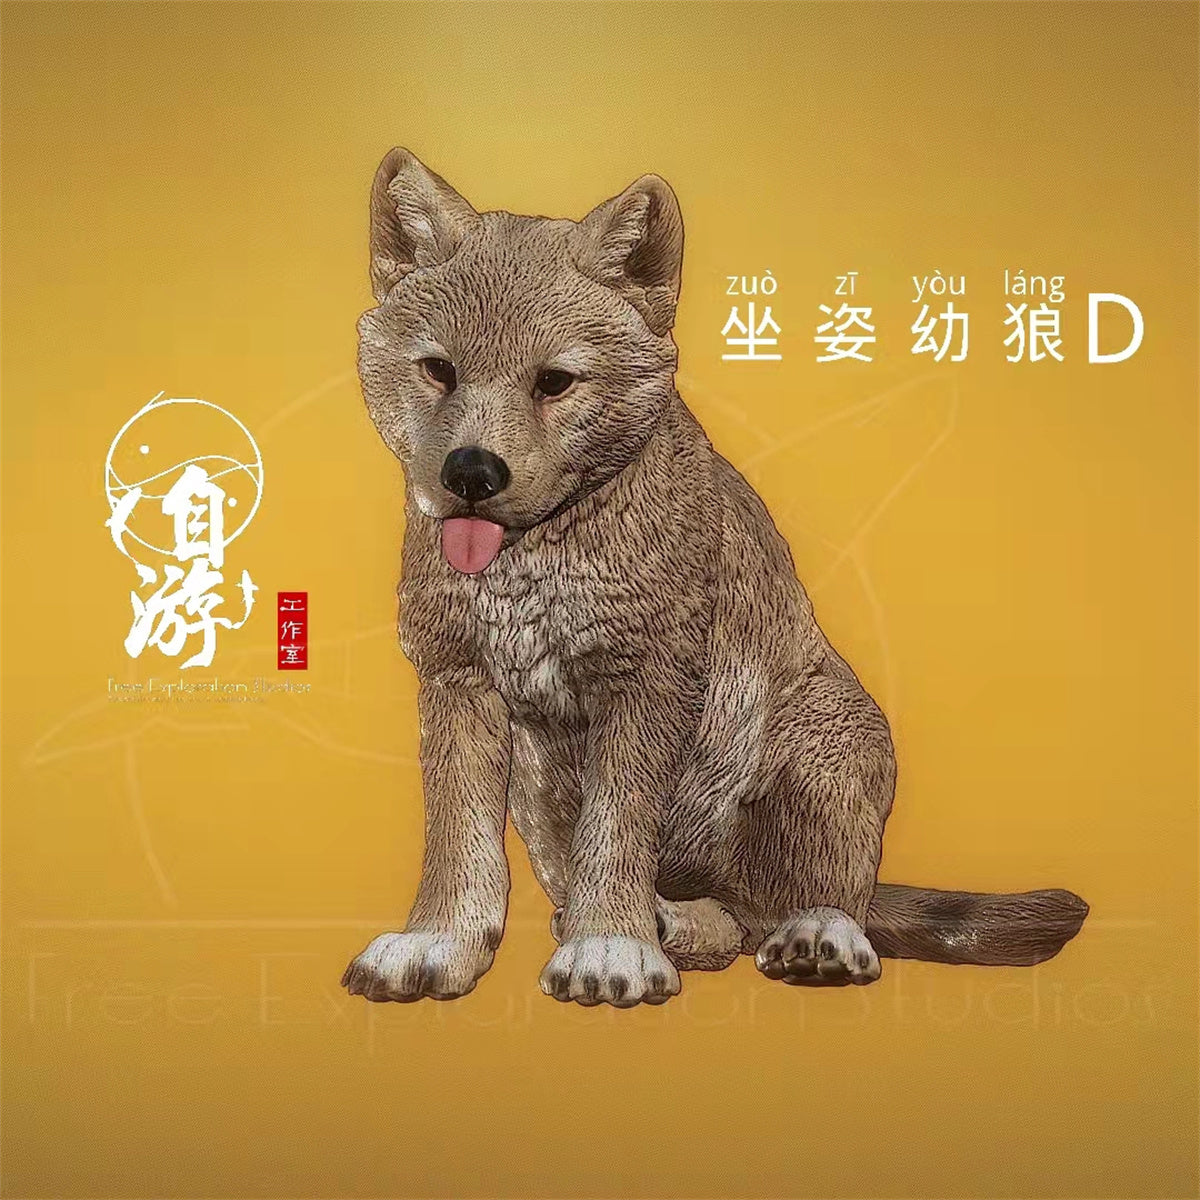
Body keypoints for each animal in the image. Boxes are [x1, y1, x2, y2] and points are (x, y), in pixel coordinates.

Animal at [342, 148, 1087, 1008]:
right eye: (439, 371)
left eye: (555, 382)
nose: (470, 472)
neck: (532, 568)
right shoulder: (457, 680)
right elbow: (459, 839)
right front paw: (440, 944)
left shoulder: (650, 681)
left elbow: (616, 831)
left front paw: (610, 946)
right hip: (542, 788)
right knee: (721, 924)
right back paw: (671, 921)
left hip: (826, 739)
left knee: (804, 902)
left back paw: (809, 935)